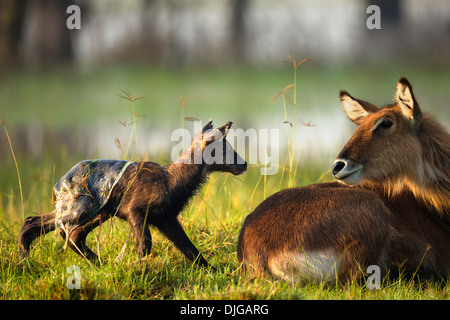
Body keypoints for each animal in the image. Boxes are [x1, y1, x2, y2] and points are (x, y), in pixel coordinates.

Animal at [19, 121, 246, 266]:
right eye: (223, 147)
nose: (244, 164)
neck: (171, 181)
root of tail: (57, 187)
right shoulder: (134, 209)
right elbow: (145, 243)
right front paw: (141, 269)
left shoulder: (167, 219)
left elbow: (191, 249)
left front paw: (217, 272)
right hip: (81, 209)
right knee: (44, 225)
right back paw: (24, 262)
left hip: (96, 211)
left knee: (68, 232)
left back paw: (98, 263)